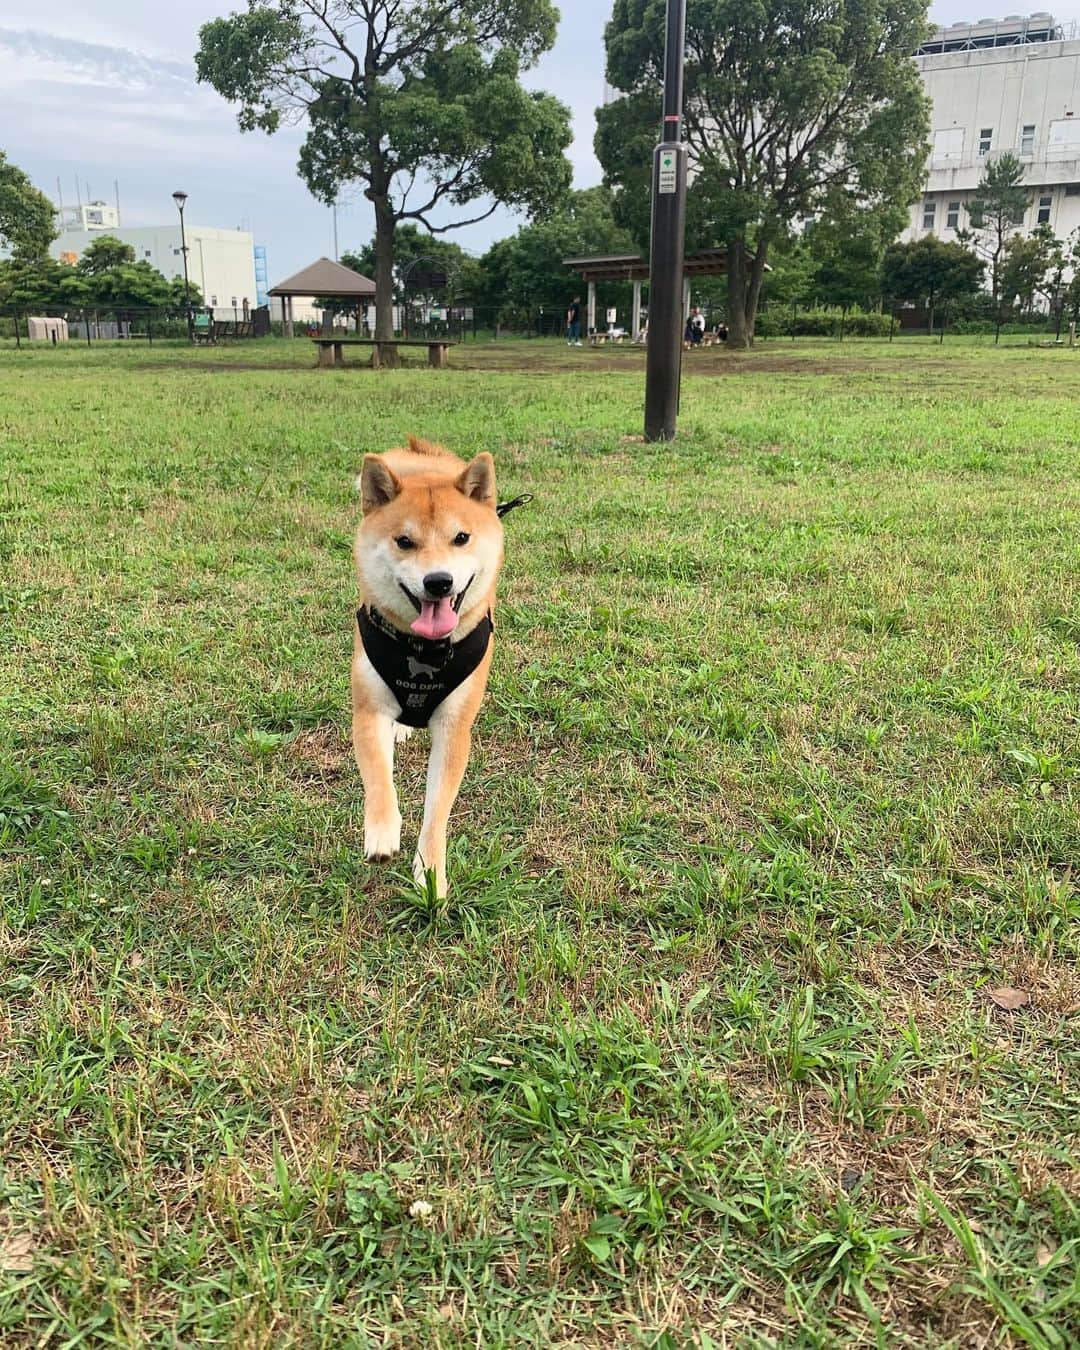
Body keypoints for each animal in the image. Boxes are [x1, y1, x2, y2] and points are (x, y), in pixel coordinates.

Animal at [353, 434, 507, 896]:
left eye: (461, 537)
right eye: (404, 542)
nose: (438, 582)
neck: (426, 649)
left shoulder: (454, 728)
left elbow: (438, 807)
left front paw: (431, 871)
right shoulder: (368, 710)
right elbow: (377, 774)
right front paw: (382, 831)